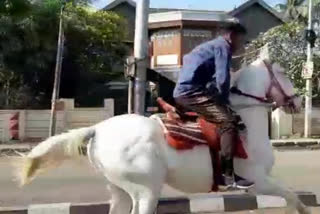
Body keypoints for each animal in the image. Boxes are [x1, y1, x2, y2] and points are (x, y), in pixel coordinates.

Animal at [13, 55, 308, 214]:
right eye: (283, 72)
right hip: (145, 191)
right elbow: (292, 196)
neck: (246, 121)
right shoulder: (257, 180)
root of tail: (98, 129)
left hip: (120, 190)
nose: (298, 101)